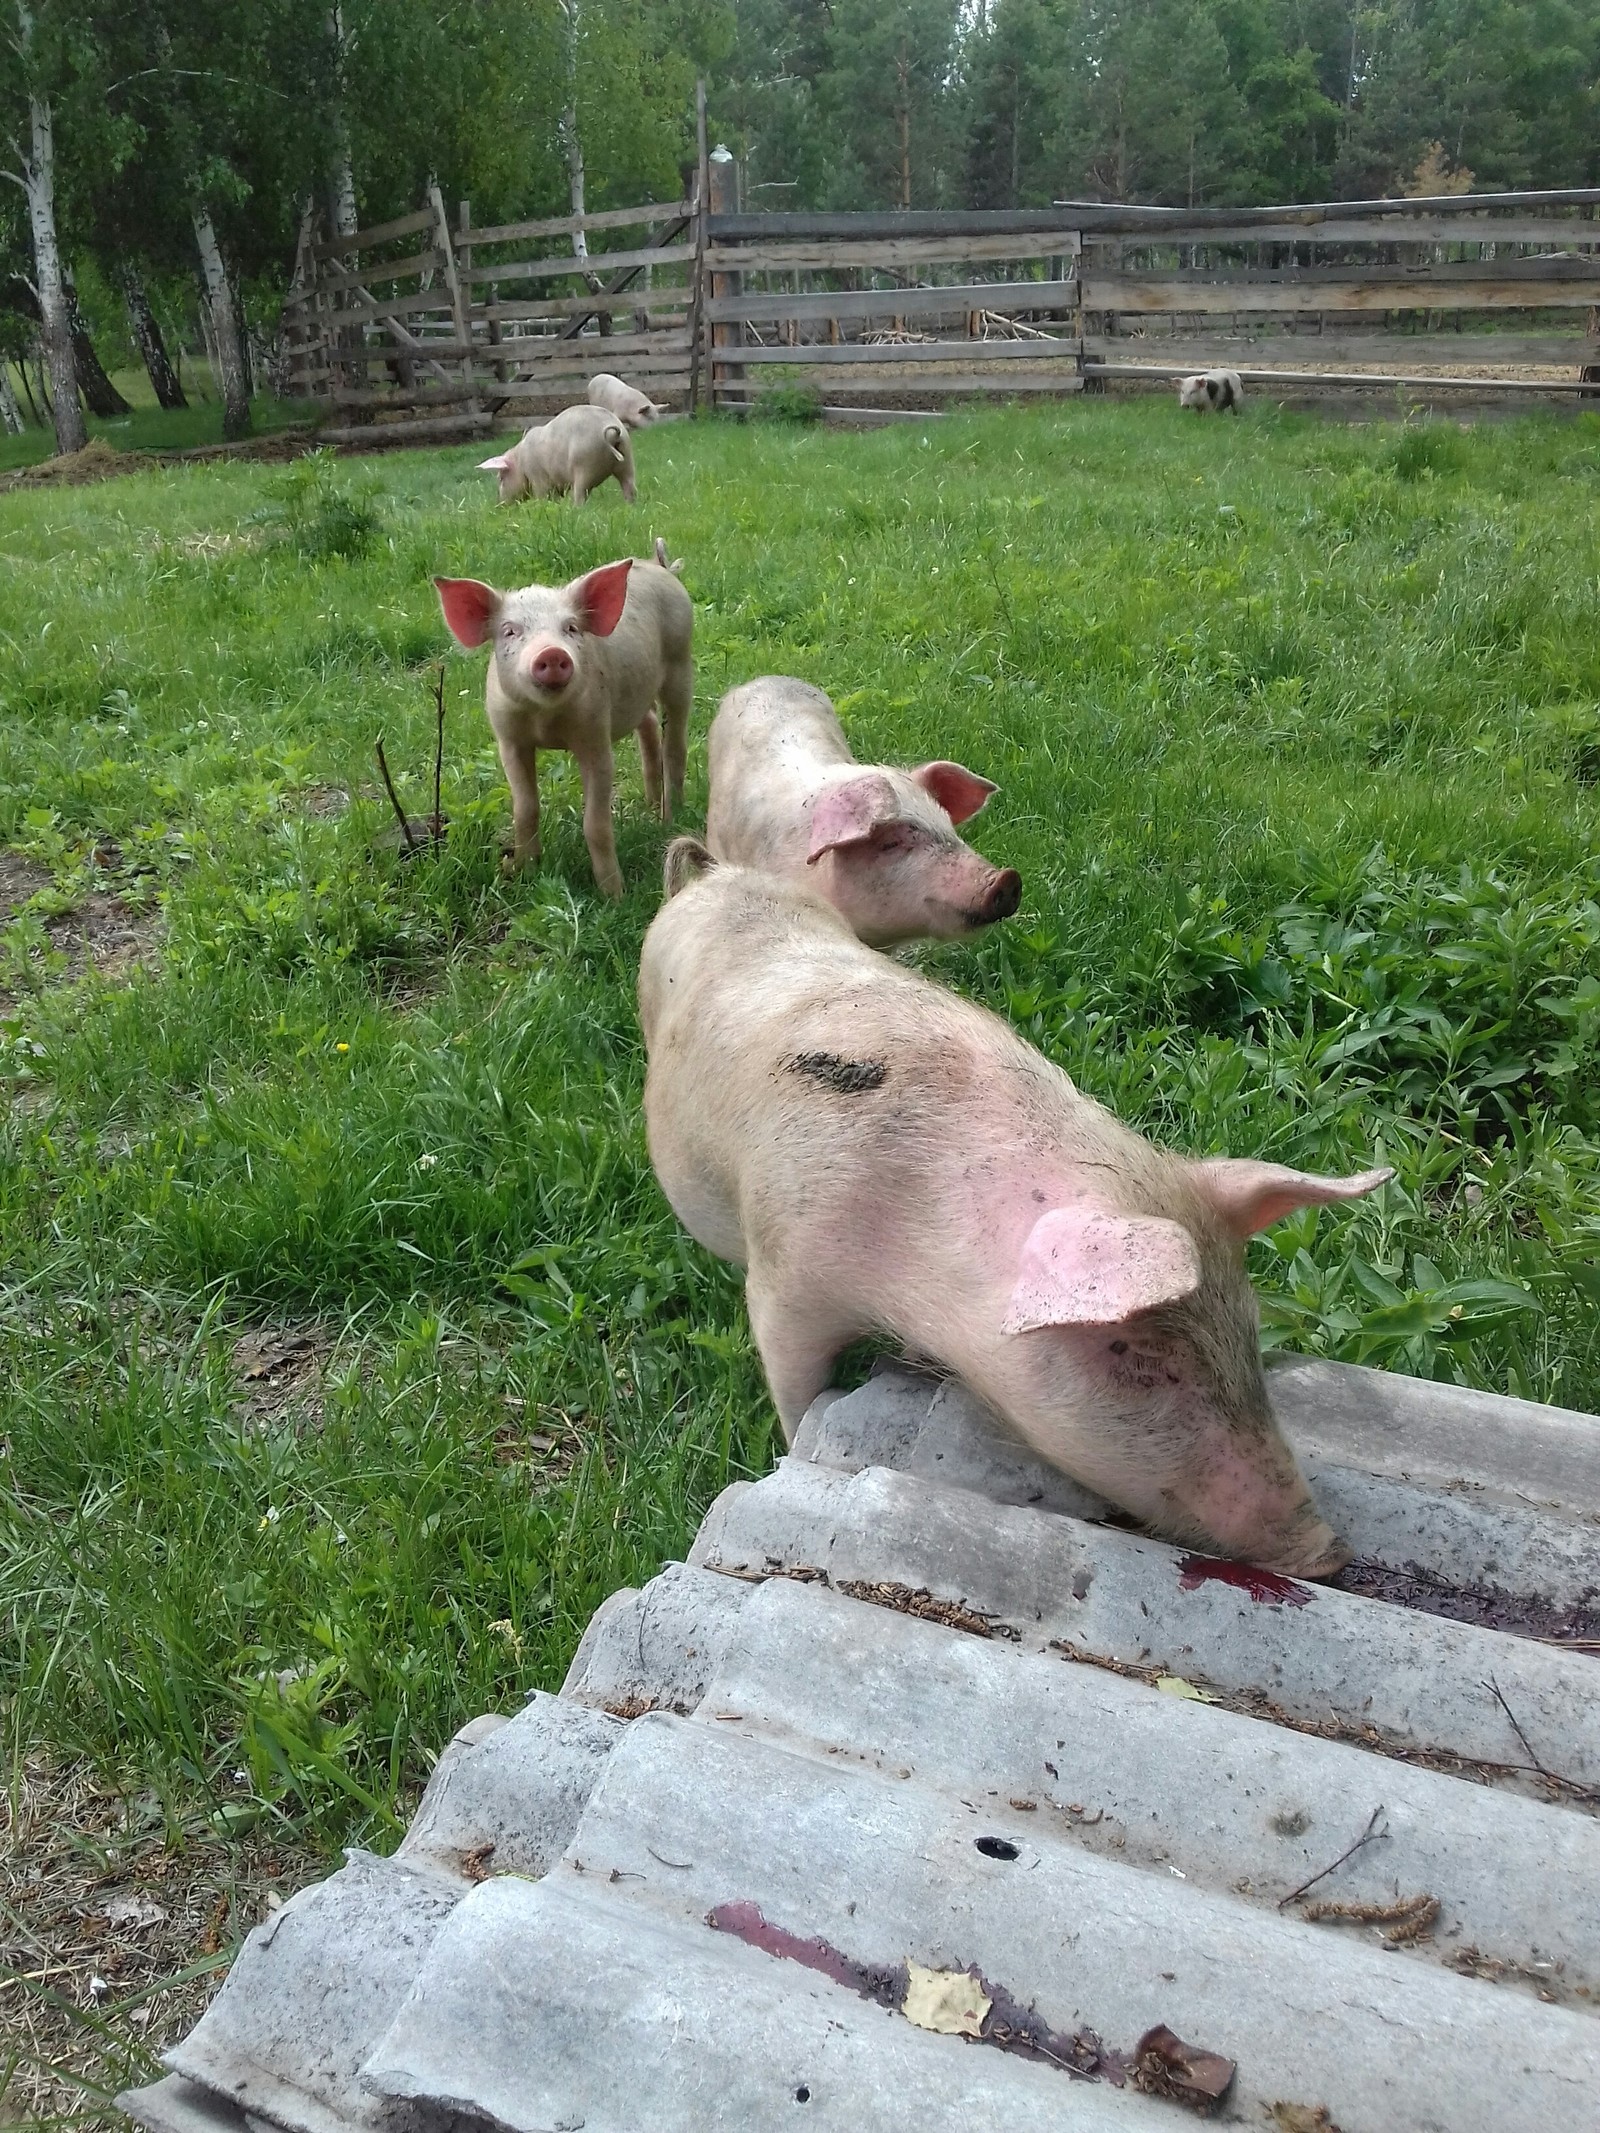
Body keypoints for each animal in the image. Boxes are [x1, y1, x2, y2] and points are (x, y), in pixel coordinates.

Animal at [435, 541, 691, 900]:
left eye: (570, 628)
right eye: (510, 631)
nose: (552, 653)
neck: (546, 721)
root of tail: (658, 566)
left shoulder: (595, 736)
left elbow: (595, 823)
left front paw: (615, 896)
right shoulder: (509, 740)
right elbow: (525, 808)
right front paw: (526, 872)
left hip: (681, 663)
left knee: (676, 743)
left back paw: (670, 820)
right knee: (650, 724)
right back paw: (652, 808)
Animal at [482, 401, 640, 503]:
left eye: (501, 478)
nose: (499, 504)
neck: (520, 461)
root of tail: (612, 432)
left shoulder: (537, 476)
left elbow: (542, 495)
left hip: (585, 466)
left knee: (580, 495)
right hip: (627, 459)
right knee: (630, 488)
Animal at [640, 840, 1390, 1578]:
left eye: (1250, 1331)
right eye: (1139, 1357)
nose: (1330, 1552)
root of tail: (708, 875)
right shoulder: (785, 1271)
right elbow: (796, 1385)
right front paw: (796, 1440)